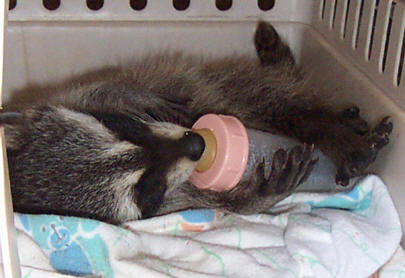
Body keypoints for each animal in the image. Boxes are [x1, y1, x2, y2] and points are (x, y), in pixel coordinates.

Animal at [0, 22, 392, 226]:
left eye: (121, 126)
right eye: (149, 190)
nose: (196, 144)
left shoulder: (57, 95)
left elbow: (104, 84)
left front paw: (131, 94)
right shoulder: (174, 198)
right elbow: (223, 203)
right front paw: (259, 194)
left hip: (226, 82)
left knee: (276, 99)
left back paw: (332, 127)